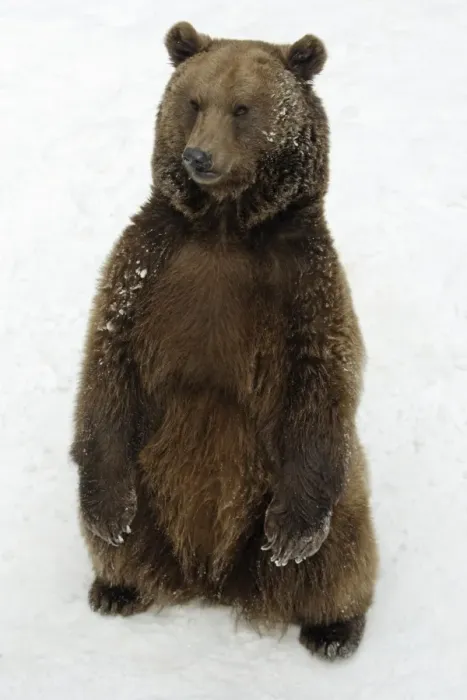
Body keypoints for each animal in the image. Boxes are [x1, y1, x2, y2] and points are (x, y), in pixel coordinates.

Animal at [71, 21, 378, 660]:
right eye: (193, 102)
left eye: (243, 107)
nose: (198, 156)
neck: (224, 226)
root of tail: (211, 580)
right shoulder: (145, 268)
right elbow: (107, 360)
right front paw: (107, 512)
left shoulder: (306, 285)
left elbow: (324, 373)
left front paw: (293, 536)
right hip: (148, 482)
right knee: (125, 536)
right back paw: (116, 587)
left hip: (315, 494)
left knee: (341, 552)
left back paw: (335, 628)